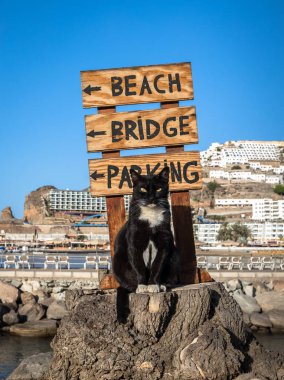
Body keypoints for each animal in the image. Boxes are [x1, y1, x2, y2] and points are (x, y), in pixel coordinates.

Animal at [112, 166, 179, 294]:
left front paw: (153, 285)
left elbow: (157, 265)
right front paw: (142, 286)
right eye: (142, 189)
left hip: (174, 255)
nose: (151, 198)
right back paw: (135, 287)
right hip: (117, 261)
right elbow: (138, 265)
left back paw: (162, 286)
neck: (151, 216)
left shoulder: (164, 240)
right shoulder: (134, 241)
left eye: (158, 189)